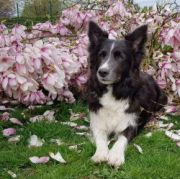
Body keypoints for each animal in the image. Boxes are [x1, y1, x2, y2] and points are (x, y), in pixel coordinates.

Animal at [86, 21, 167, 169]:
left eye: (119, 56)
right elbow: (100, 139)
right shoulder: (97, 122)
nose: (102, 72)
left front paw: (115, 156)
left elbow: (121, 139)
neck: (113, 90)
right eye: (101, 55)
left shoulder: (131, 123)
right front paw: (100, 154)